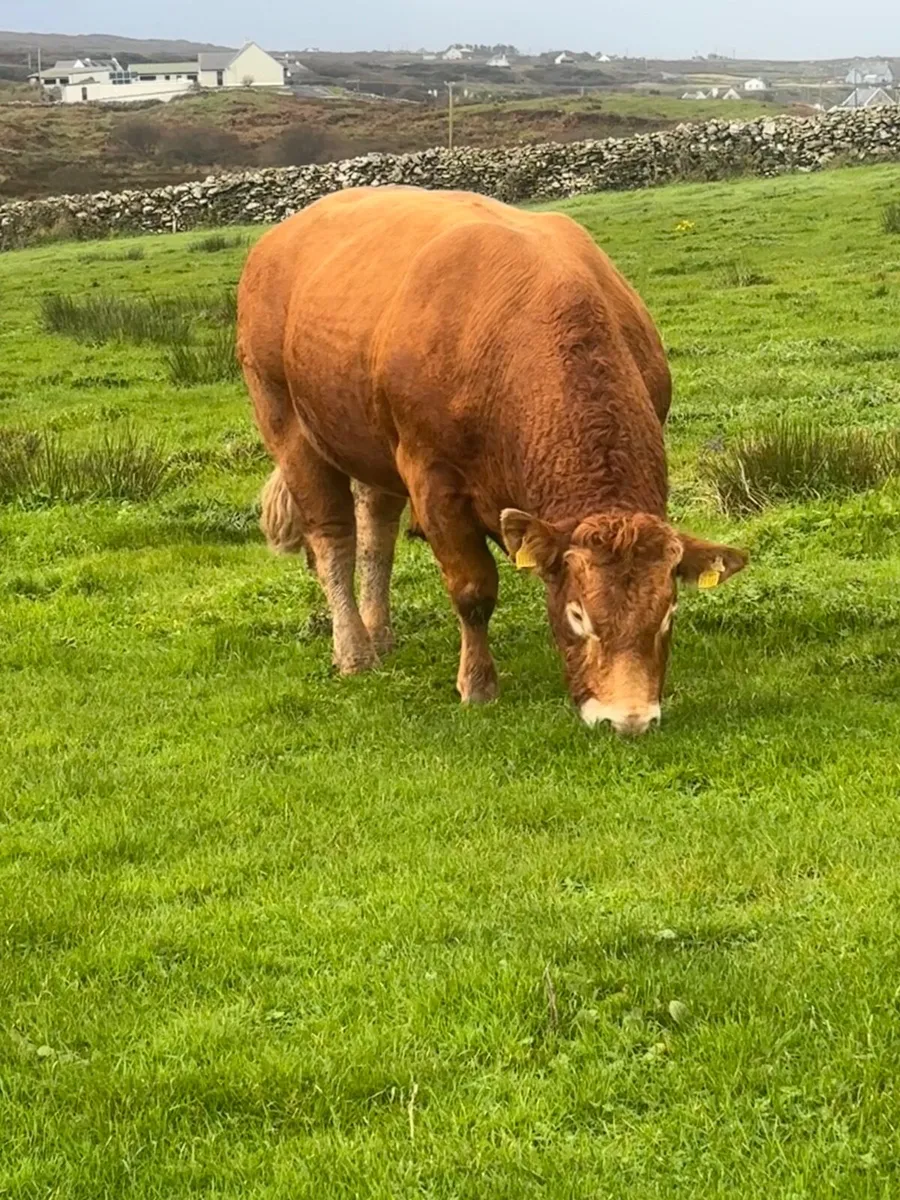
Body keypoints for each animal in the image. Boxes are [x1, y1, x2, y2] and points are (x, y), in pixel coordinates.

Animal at [237, 187, 747, 736]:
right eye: (578, 616)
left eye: (668, 614)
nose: (628, 719)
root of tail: (279, 236)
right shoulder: (433, 480)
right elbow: (473, 589)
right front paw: (478, 685)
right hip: (285, 420)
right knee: (333, 538)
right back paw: (355, 652)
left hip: (369, 440)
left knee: (376, 533)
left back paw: (380, 630)